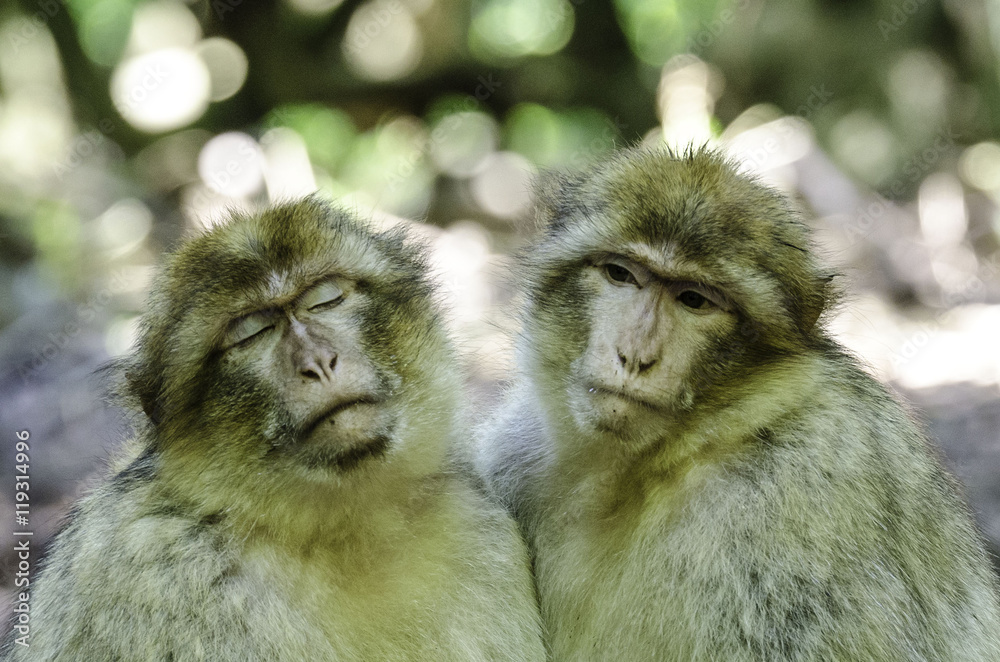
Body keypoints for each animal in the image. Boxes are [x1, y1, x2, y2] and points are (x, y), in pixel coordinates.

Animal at [2, 199, 546, 662]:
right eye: (251, 333)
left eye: (326, 298)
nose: (319, 363)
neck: (344, 527)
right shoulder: (147, 566)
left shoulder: (474, 527)